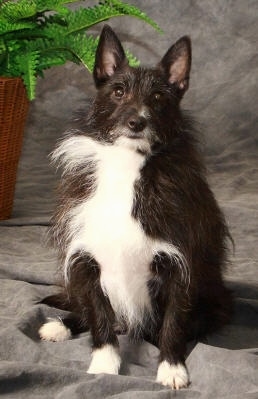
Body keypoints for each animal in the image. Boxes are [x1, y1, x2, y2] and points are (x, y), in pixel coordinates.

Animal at [39, 25, 233, 390]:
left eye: (157, 98)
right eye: (117, 92)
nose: (136, 122)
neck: (127, 164)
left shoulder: (179, 264)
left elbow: (173, 322)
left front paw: (171, 367)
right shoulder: (86, 259)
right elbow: (98, 315)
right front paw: (104, 363)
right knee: (85, 309)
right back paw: (60, 325)